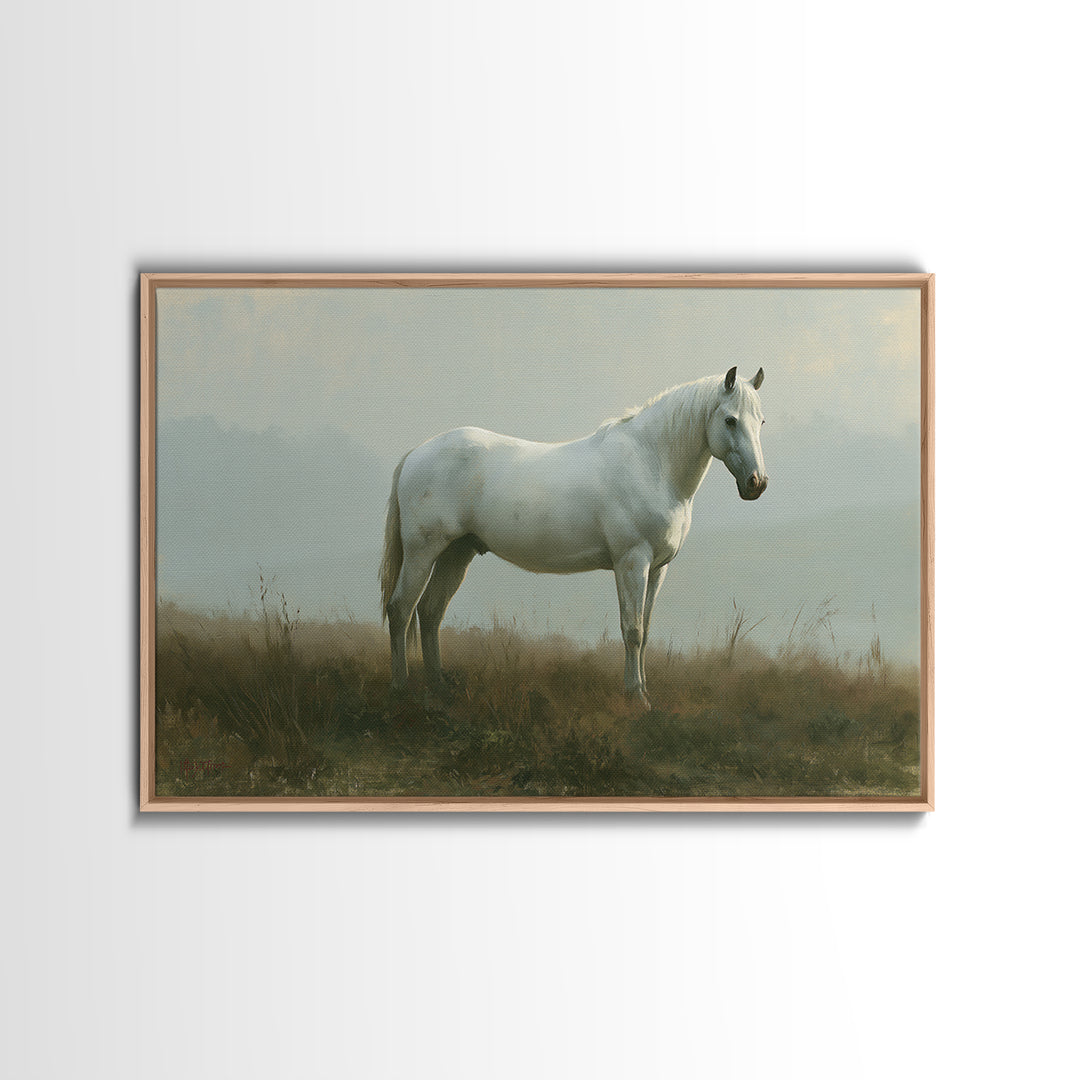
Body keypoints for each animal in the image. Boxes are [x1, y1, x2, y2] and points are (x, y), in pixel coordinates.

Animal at [379, 365, 768, 708]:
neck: (651, 464)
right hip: (422, 551)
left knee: (430, 612)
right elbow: (632, 630)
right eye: (730, 420)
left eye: (761, 421)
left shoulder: (658, 568)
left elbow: (644, 630)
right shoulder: (631, 562)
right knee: (401, 609)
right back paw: (400, 687)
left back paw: (439, 686)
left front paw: (642, 690)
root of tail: (415, 454)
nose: (757, 483)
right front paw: (636, 697)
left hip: (456, 553)